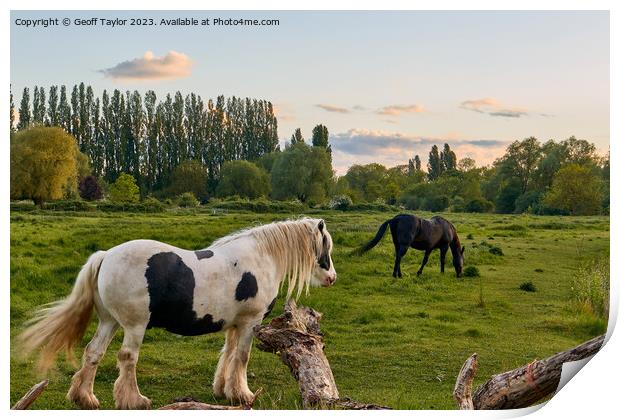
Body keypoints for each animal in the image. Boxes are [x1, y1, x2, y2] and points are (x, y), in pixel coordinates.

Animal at [19, 218, 336, 408]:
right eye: (325, 248)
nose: (332, 278)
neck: (261, 257)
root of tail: (106, 255)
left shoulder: (234, 325)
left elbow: (228, 355)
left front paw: (223, 390)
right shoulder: (250, 323)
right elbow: (242, 357)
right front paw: (242, 394)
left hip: (109, 322)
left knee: (93, 352)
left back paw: (85, 397)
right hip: (134, 325)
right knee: (127, 357)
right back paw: (134, 400)